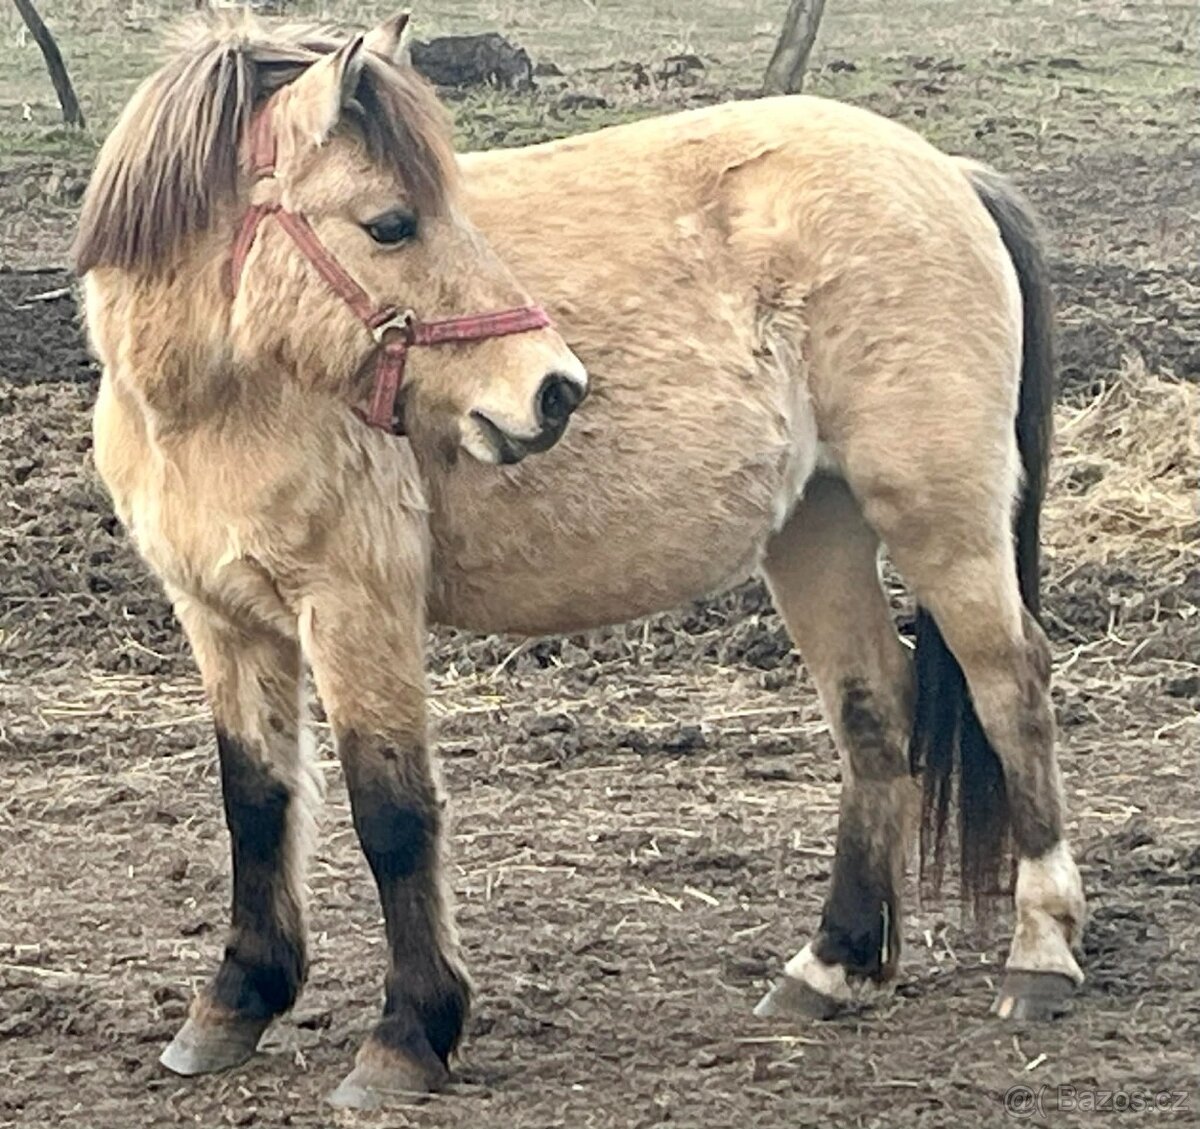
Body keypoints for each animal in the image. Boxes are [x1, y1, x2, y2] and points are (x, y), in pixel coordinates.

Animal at [78, 12, 1087, 1111]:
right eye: (391, 224)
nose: (554, 390)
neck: (224, 399)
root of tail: (948, 172)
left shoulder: (356, 608)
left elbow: (391, 814)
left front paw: (409, 1035)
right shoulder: (222, 617)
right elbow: (255, 802)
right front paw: (234, 1005)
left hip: (941, 521)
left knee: (1012, 690)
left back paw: (1041, 957)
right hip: (816, 531)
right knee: (875, 709)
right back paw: (833, 965)